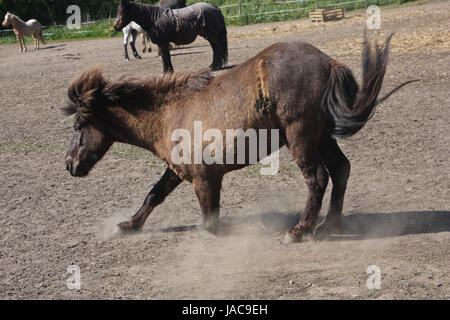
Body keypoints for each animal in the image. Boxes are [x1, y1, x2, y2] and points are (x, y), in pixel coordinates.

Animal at [62, 35, 414, 242]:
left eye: (79, 125)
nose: (69, 165)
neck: (171, 114)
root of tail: (328, 62)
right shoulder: (180, 171)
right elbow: (154, 195)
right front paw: (129, 225)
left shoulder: (205, 179)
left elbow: (210, 223)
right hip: (322, 136)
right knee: (341, 170)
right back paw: (328, 225)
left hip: (300, 136)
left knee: (317, 178)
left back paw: (299, 231)